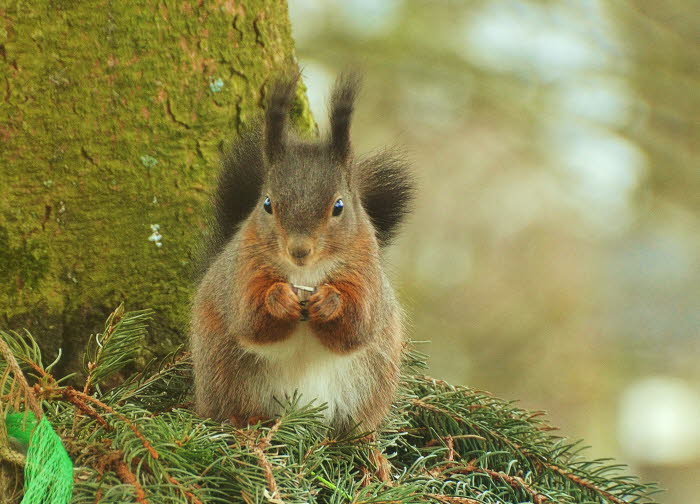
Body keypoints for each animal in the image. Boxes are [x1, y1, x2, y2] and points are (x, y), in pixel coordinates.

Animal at [189, 76, 412, 434]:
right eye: (267, 203)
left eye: (339, 206)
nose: (299, 250)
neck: (306, 274)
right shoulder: (243, 270)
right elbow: (249, 319)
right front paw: (278, 299)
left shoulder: (365, 273)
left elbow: (357, 326)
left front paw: (330, 302)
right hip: (228, 375)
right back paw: (244, 419)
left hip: (371, 382)